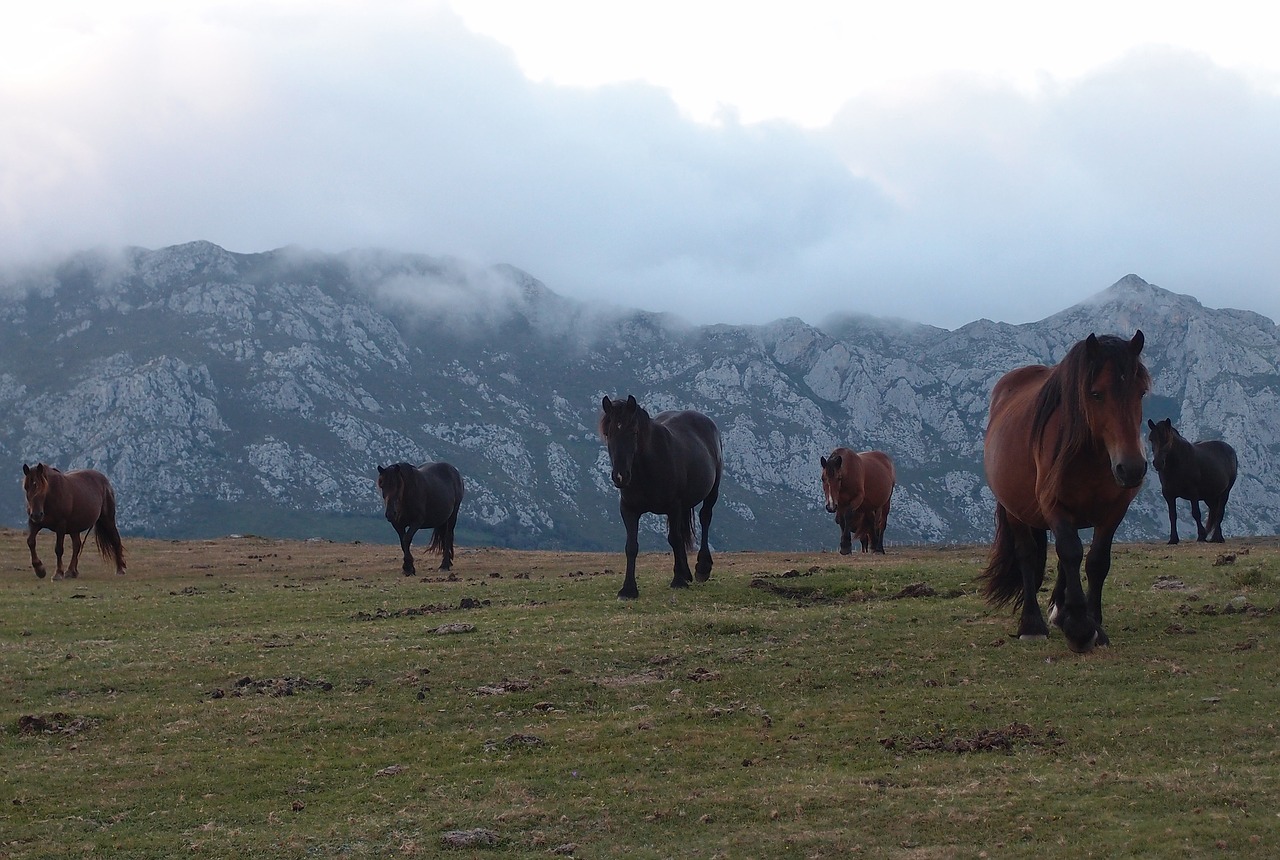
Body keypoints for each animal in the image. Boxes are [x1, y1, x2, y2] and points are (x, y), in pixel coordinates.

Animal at [596, 394, 721, 598]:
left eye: (634, 432)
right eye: (608, 434)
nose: (620, 476)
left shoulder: (674, 506)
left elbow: (674, 539)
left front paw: (678, 581)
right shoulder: (629, 510)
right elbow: (631, 546)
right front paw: (628, 589)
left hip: (711, 491)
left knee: (705, 518)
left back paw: (701, 568)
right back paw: (686, 573)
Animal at [977, 330, 1152, 652]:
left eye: (1141, 393)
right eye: (1095, 393)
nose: (1132, 468)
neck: (1090, 456)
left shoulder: (1113, 512)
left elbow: (1096, 561)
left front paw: (1094, 627)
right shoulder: (1054, 506)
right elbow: (1070, 552)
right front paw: (1080, 629)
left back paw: (1061, 613)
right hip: (1015, 511)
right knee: (1027, 555)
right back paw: (1033, 624)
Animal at [1146, 417, 1233, 545]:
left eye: (1167, 439)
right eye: (1151, 439)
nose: (1158, 463)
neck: (1177, 464)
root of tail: (1229, 449)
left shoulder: (1193, 493)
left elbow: (1196, 513)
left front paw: (1201, 536)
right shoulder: (1168, 495)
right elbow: (1172, 515)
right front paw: (1173, 539)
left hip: (1224, 493)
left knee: (1219, 512)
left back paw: (1217, 537)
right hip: (1210, 496)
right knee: (1214, 511)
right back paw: (1214, 537)